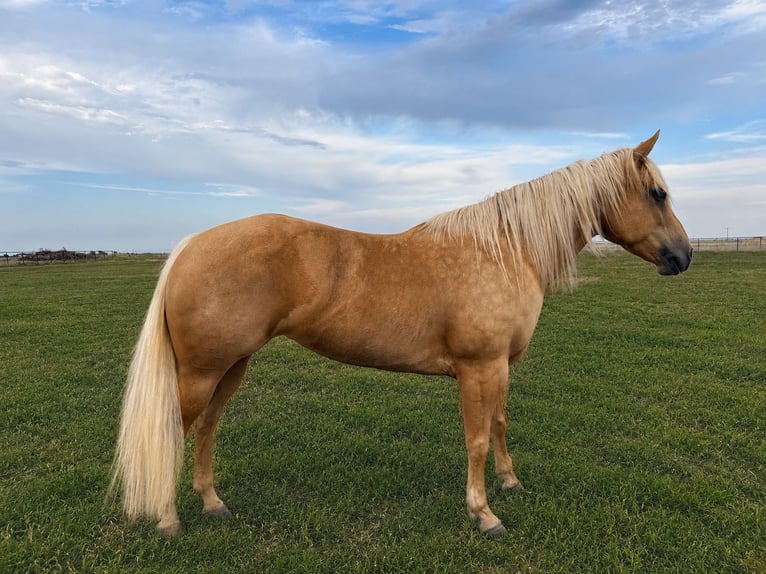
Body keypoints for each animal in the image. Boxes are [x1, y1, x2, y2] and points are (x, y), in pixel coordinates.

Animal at [108, 130, 692, 538]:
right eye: (657, 193)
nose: (684, 256)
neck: (505, 251)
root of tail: (190, 245)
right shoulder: (478, 369)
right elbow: (477, 438)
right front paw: (484, 514)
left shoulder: (500, 367)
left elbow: (500, 424)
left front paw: (510, 482)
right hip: (202, 372)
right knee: (177, 431)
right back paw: (169, 520)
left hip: (230, 367)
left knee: (208, 429)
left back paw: (213, 504)